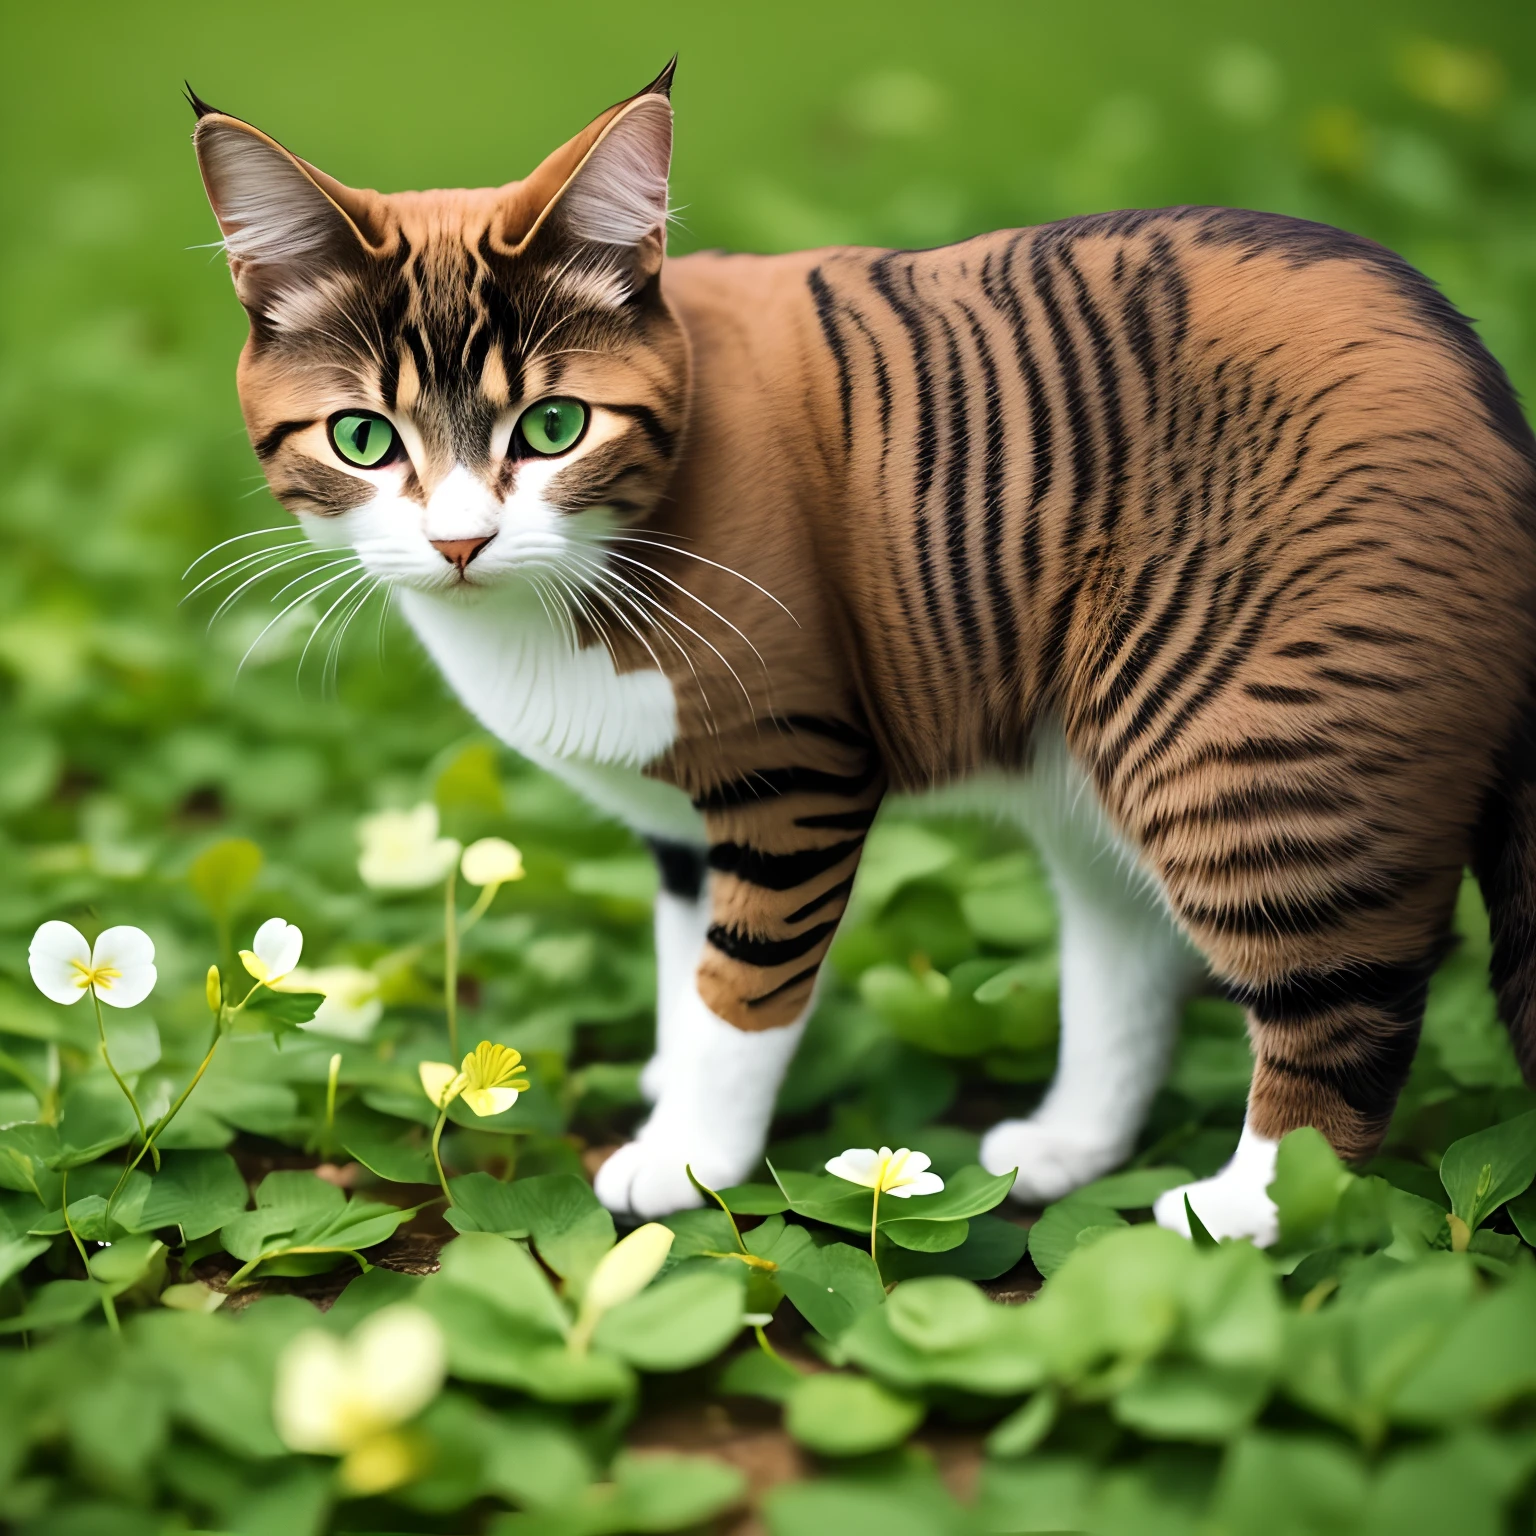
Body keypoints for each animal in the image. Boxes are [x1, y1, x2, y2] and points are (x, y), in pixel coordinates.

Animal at [192, 66, 1536, 1241]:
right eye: (365, 439)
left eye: (556, 425)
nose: (463, 540)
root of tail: (1486, 376)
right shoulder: (684, 828)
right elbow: (684, 970)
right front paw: (668, 1090)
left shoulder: (794, 783)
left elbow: (741, 991)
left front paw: (689, 1157)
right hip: (1096, 755)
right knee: (1131, 951)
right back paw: (1068, 1145)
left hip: (1241, 738)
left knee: (1355, 993)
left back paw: (1246, 1210)